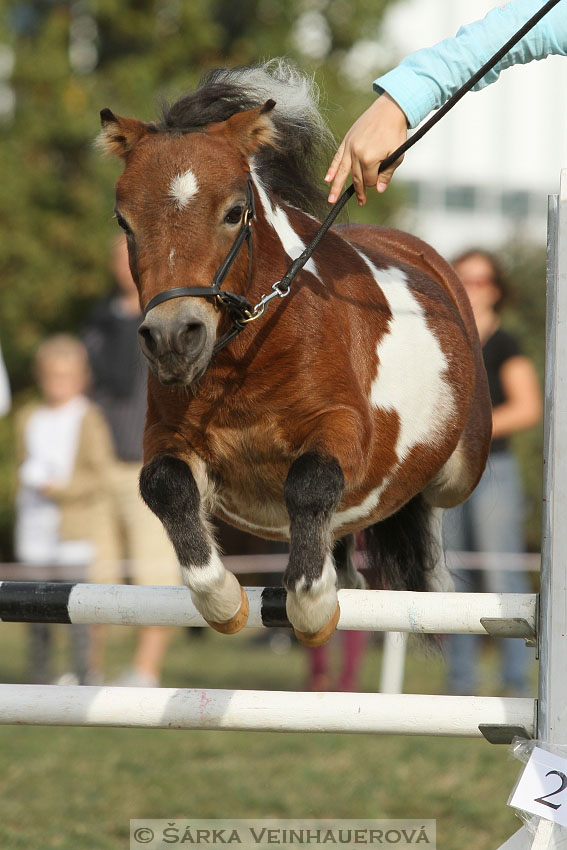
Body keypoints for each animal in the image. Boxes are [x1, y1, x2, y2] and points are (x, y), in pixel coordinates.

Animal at [98, 61, 492, 644]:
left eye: (235, 212)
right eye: (124, 221)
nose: (172, 339)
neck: (246, 358)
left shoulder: (346, 426)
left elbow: (310, 483)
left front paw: (311, 602)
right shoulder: (168, 438)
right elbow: (163, 485)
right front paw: (224, 601)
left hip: (460, 470)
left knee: (425, 505)